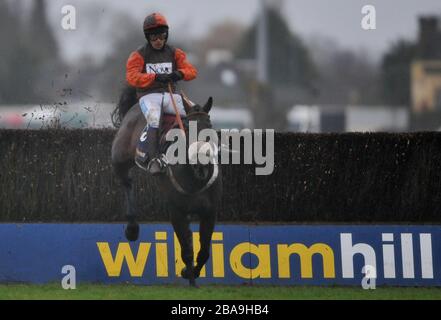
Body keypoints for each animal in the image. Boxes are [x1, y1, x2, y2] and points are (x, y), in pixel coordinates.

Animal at [110, 85, 220, 288]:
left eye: (209, 127)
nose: (201, 158)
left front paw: (189, 272)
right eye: (187, 127)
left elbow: (204, 251)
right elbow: (186, 249)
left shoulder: (210, 211)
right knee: (126, 182)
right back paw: (132, 228)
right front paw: (191, 278)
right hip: (120, 156)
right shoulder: (176, 211)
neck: (196, 178)